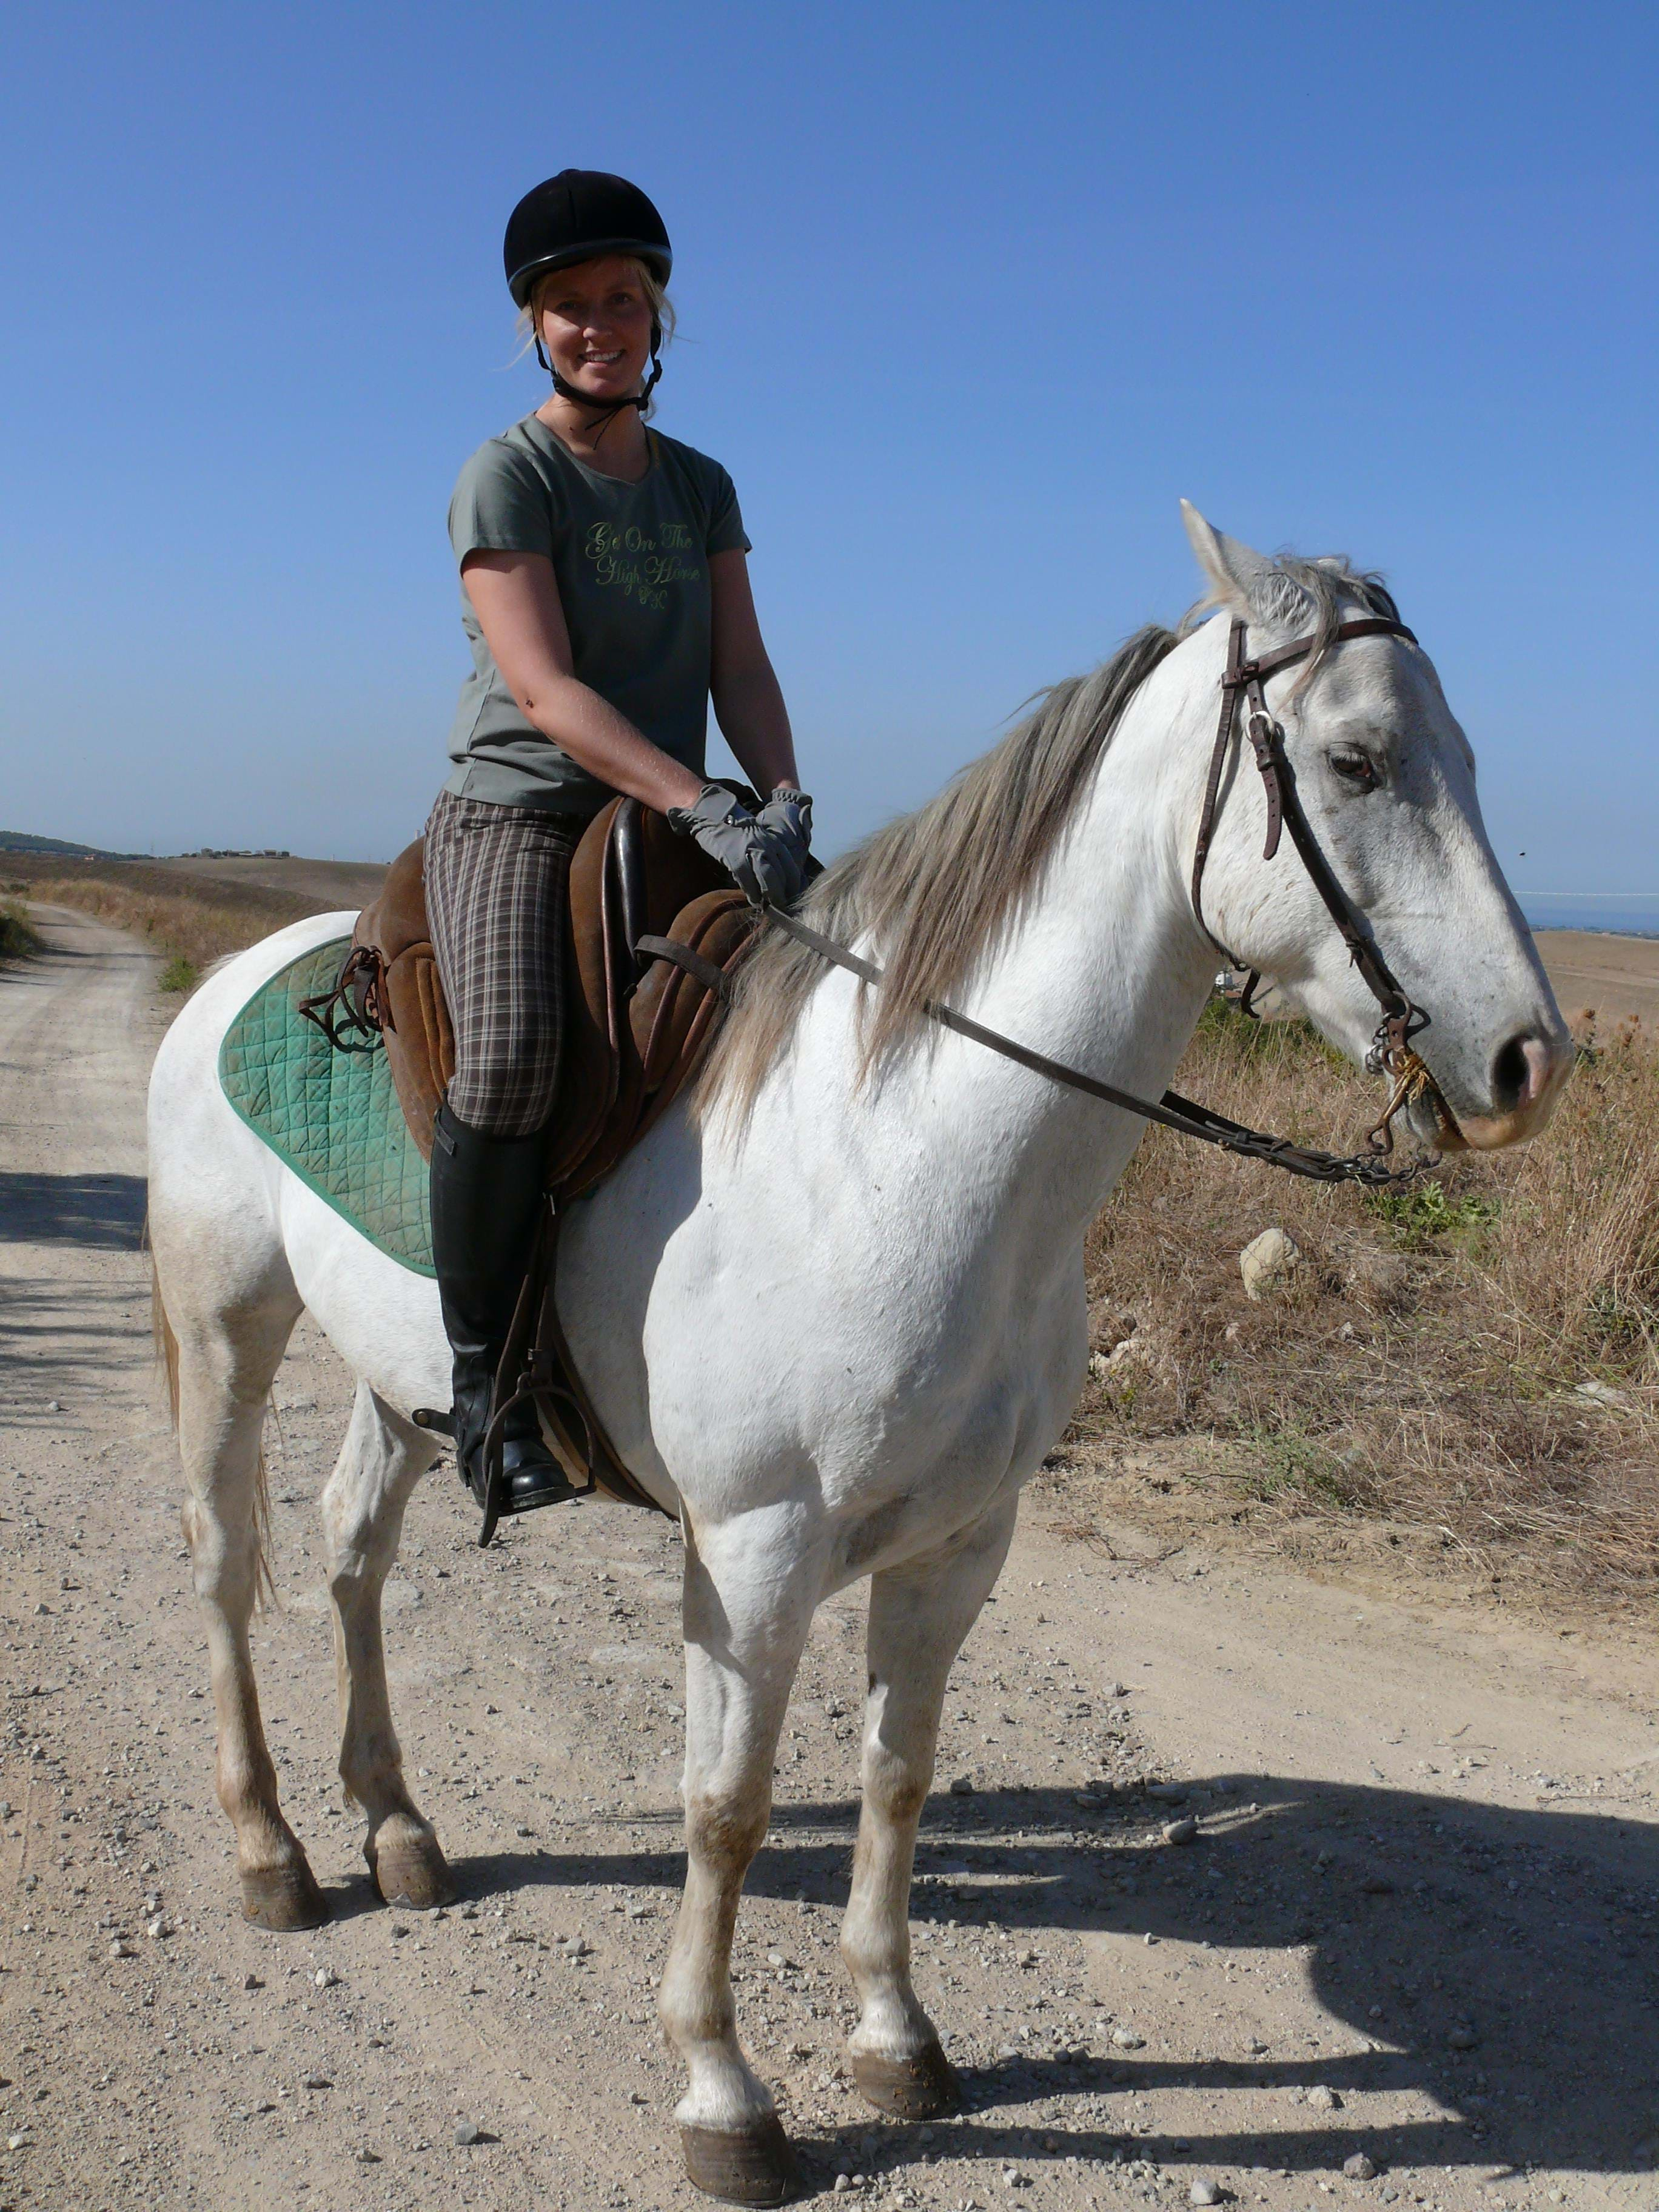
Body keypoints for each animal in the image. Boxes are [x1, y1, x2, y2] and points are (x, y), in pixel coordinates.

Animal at [142, 509, 1575, 2203]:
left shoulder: (960, 1542)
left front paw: (894, 2036)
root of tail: (253, 975)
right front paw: (722, 2094)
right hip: (223, 1326)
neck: (899, 1145)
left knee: (352, 1556)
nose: (1528, 1063)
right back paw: (273, 1852)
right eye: (1356, 761)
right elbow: (728, 1809)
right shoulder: (755, 1551)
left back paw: (397, 1828)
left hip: (405, 1386)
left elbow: (898, 1772)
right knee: (228, 1565)